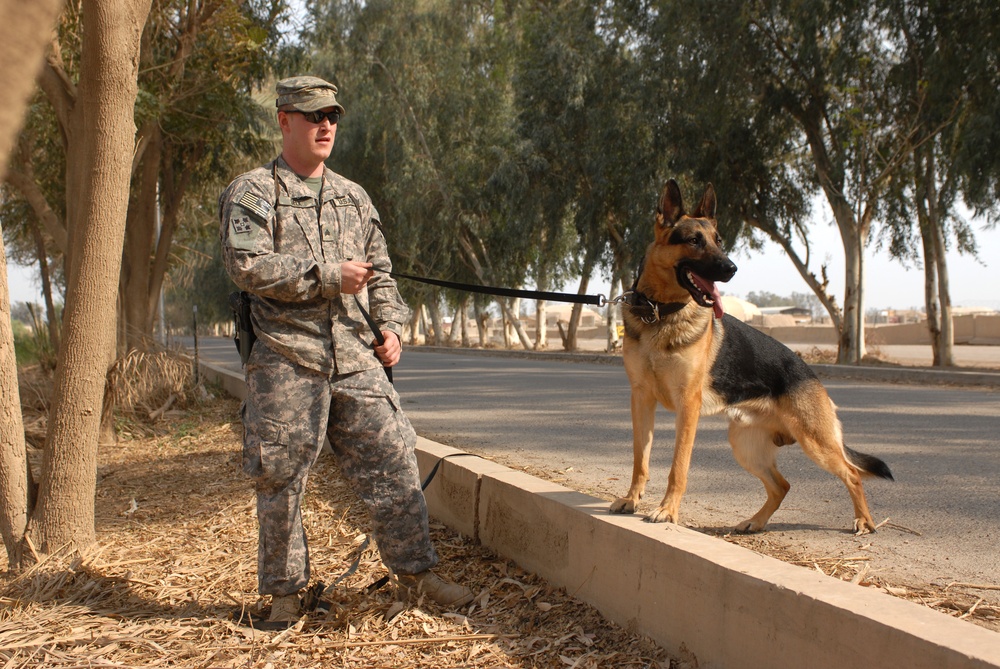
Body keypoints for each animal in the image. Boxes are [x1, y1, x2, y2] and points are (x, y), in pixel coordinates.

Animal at [608, 177, 892, 532]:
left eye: (719, 241)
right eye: (693, 240)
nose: (731, 268)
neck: (660, 314)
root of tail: (811, 374)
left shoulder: (687, 406)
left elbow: (678, 466)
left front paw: (667, 510)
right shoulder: (642, 398)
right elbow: (640, 459)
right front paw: (632, 499)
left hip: (815, 443)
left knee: (852, 474)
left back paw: (864, 521)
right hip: (745, 446)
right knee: (782, 485)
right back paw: (755, 522)